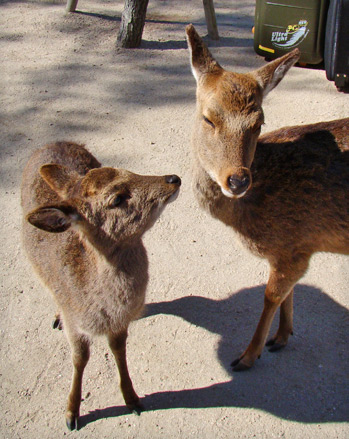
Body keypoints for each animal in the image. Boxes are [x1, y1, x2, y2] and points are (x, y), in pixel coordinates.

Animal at [20, 142, 181, 430]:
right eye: (117, 198)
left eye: (129, 170)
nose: (173, 179)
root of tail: (52, 143)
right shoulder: (75, 324)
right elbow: (79, 359)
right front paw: (71, 414)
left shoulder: (119, 324)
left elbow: (118, 349)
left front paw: (132, 399)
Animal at [185, 24, 348, 372]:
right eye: (208, 118)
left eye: (259, 122)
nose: (237, 180)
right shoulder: (294, 250)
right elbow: (288, 293)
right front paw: (282, 336)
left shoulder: (296, 245)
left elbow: (271, 295)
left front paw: (248, 355)